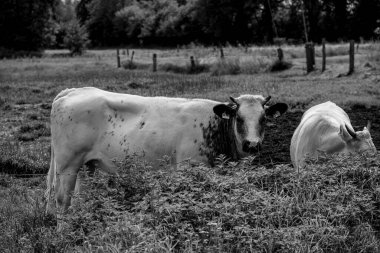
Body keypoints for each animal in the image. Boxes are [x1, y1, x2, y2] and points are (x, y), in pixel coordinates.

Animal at [46, 87, 286, 210]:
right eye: (239, 118)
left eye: (264, 118)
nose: (252, 144)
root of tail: (73, 91)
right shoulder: (188, 170)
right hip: (67, 166)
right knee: (61, 199)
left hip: (87, 165)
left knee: (78, 199)